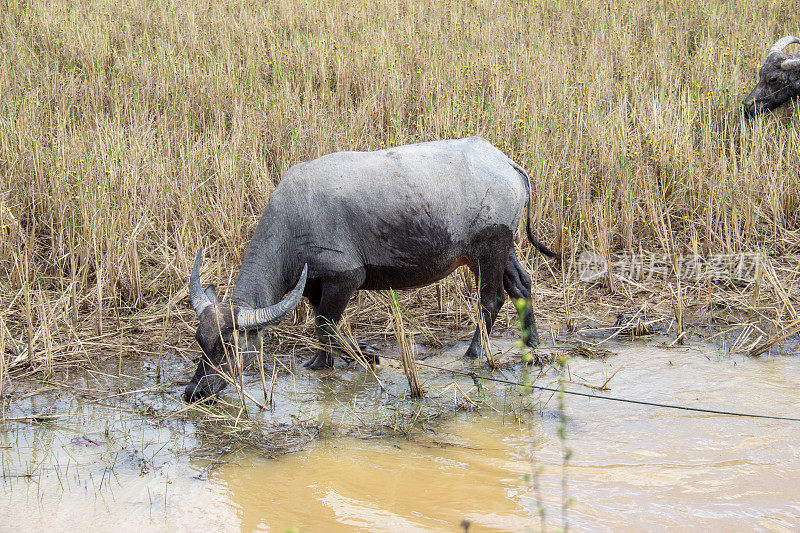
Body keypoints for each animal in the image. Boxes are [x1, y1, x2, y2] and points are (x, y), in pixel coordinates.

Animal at [184, 136, 552, 400]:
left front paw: (343, 359)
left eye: (228, 348)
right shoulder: (315, 285)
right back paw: (531, 342)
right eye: (200, 342)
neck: (295, 220)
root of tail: (504, 161)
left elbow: (326, 325)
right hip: (499, 251)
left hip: (491, 248)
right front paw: (341, 357)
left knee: (491, 300)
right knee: (522, 286)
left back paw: (474, 353)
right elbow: (326, 326)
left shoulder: (345, 278)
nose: (194, 392)